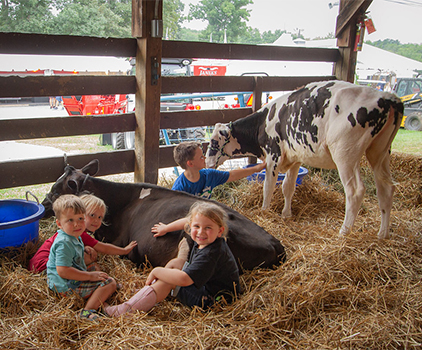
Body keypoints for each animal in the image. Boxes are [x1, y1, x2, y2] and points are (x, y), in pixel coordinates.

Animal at [206, 80, 404, 238]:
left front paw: (264, 212)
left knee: (355, 191)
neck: (264, 122)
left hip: (346, 154)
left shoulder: (274, 156)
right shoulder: (295, 159)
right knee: (386, 190)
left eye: (214, 142)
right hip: (380, 152)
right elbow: (288, 187)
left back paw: (344, 232)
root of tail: (388, 97)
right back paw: (382, 234)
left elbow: (268, 188)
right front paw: (286, 214)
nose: (207, 162)